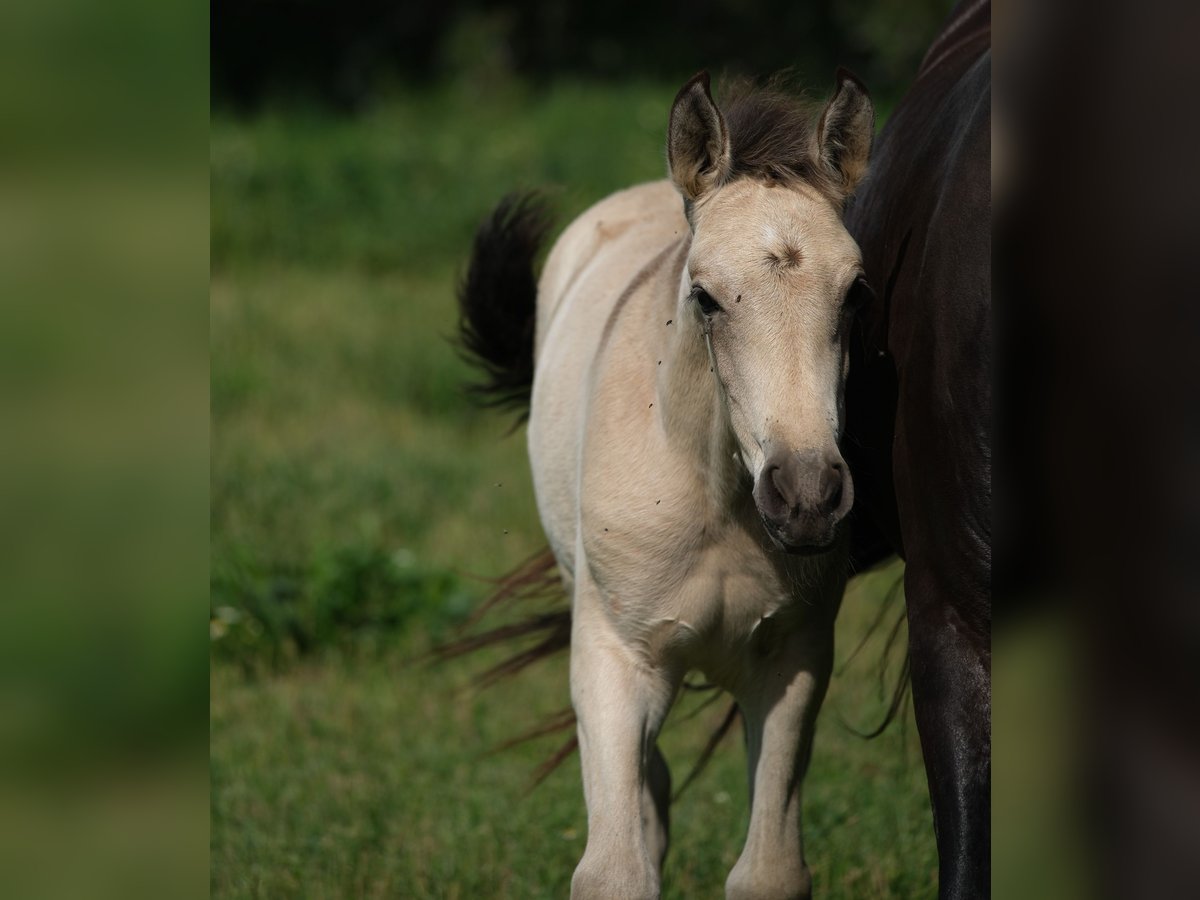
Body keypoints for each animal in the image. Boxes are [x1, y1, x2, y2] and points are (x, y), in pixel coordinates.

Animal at [458, 72, 873, 900]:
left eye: (853, 294)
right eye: (705, 295)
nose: (807, 496)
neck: (715, 496)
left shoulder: (793, 660)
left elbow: (769, 871)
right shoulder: (617, 660)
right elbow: (617, 867)